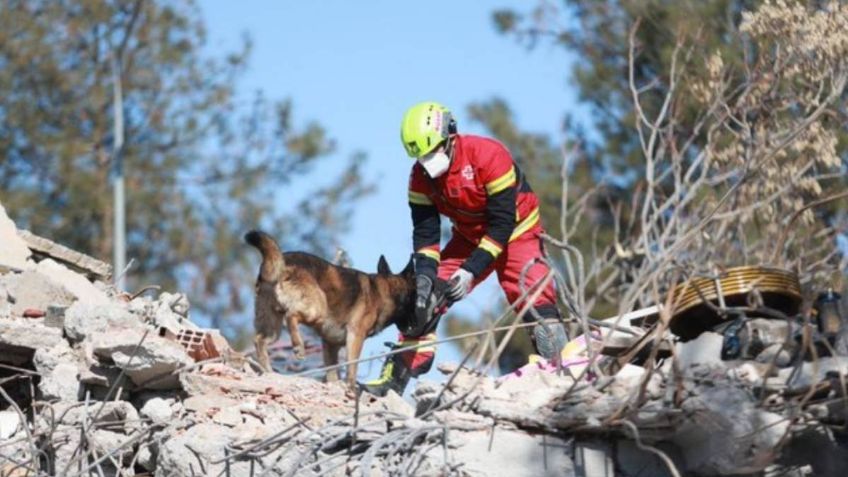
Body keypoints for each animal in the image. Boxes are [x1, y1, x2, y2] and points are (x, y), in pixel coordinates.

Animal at [243, 230, 416, 386]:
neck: (385, 290)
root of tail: (283, 261)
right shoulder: (355, 336)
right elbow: (352, 369)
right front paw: (351, 390)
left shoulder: (330, 344)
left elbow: (333, 372)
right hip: (317, 309)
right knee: (291, 315)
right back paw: (298, 346)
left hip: (273, 327)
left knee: (259, 340)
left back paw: (268, 371)